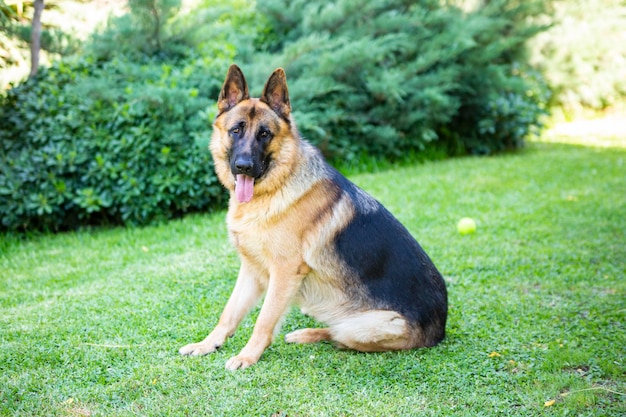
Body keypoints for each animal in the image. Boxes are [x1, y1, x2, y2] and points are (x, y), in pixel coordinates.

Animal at [178, 63, 446, 368]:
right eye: (236, 130)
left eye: (265, 134)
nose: (244, 166)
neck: (275, 190)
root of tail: (441, 329)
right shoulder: (251, 270)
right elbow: (229, 313)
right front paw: (207, 344)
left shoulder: (284, 273)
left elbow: (264, 320)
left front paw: (247, 356)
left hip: (363, 325)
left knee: (338, 334)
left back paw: (308, 334)